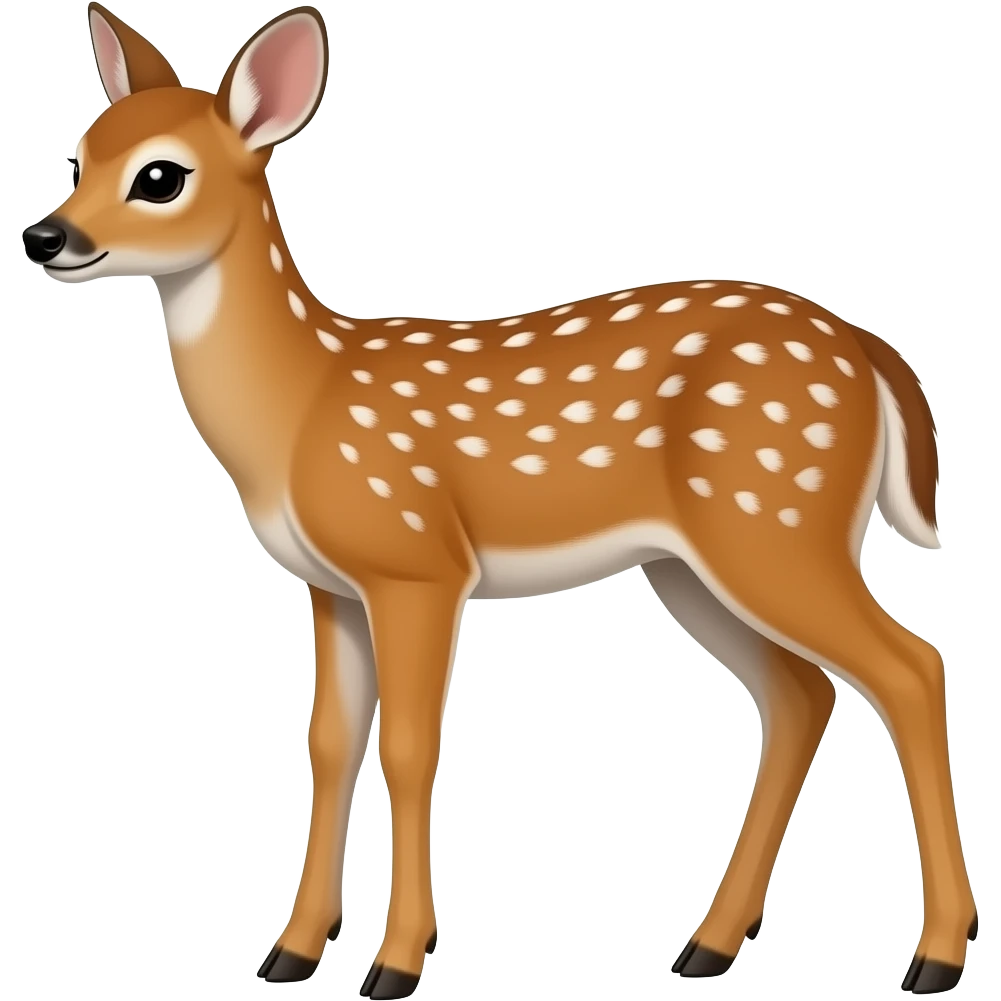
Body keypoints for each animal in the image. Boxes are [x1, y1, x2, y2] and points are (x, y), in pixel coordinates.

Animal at [20, 4, 974, 996]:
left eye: (161, 175)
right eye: (82, 153)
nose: (46, 236)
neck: (303, 406)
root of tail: (867, 350)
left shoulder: (417, 561)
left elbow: (407, 748)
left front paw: (396, 962)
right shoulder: (331, 585)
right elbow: (329, 742)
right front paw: (291, 951)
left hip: (776, 518)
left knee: (909, 667)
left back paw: (934, 956)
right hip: (692, 563)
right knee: (800, 693)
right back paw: (708, 944)